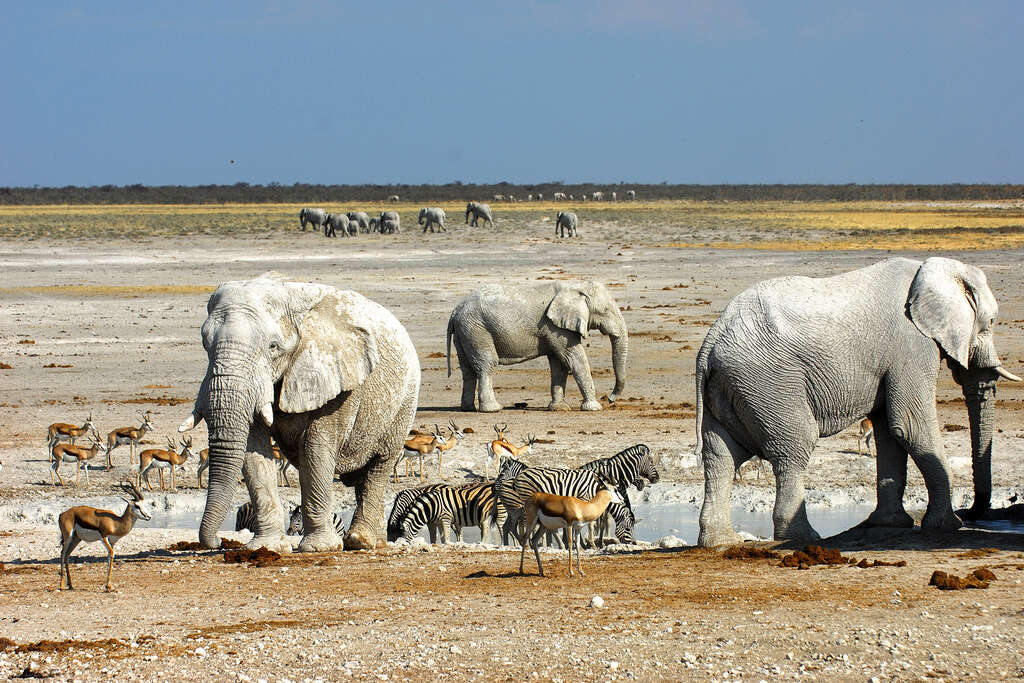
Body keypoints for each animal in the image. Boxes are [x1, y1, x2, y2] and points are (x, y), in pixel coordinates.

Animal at [179, 274, 419, 552]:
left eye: (273, 347)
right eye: (205, 344)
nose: (219, 541)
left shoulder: (335, 379)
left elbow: (316, 450)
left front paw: (319, 548)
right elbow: (253, 450)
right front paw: (266, 547)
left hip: (404, 403)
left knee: (379, 465)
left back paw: (360, 541)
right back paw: (375, 541)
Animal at [446, 282, 626, 411]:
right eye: (606, 310)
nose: (610, 399)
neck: (576, 286)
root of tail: (454, 311)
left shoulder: (554, 328)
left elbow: (559, 364)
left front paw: (559, 408)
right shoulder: (555, 328)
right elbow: (574, 359)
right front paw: (594, 408)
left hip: (465, 332)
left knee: (468, 370)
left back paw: (468, 408)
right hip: (477, 330)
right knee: (487, 365)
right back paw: (493, 409)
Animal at [692, 259, 1019, 548]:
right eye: (990, 323)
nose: (973, 512)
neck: (932, 269)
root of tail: (710, 343)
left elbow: (890, 433)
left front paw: (890, 524)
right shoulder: (912, 346)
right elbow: (910, 426)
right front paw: (947, 525)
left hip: (731, 387)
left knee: (721, 456)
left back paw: (721, 542)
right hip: (768, 382)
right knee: (794, 447)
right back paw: (803, 539)